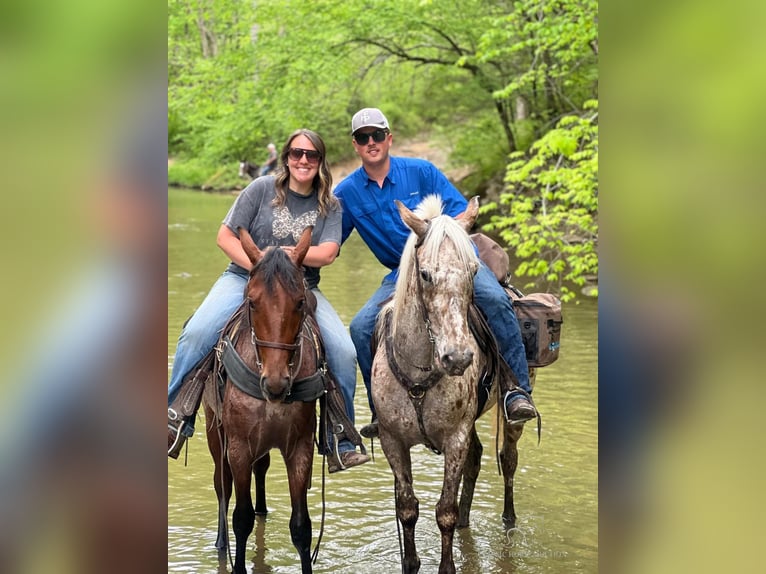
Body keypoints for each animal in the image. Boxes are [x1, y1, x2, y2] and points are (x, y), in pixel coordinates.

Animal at [202, 227, 322, 572]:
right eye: (252, 302)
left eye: (300, 302)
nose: (276, 382)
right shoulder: (239, 447)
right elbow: (240, 518)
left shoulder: (300, 448)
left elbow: (301, 527)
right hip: (215, 432)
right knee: (222, 486)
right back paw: (221, 544)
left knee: (262, 470)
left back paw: (263, 510)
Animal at [374, 196, 532, 572]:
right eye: (425, 274)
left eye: (473, 271)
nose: (458, 358)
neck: (419, 372)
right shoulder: (392, 441)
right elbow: (407, 509)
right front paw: (411, 562)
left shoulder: (454, 438)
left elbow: (443, 511)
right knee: (476, 460)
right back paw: (466, 519)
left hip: (510, 412)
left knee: (508, 459)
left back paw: (508, 520)